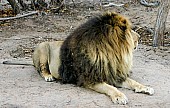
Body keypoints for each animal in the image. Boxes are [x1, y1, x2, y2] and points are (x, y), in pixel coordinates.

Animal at [2, 11, 154, 104]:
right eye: (129, 31)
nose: (140, 37)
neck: (111, 54)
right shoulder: (90, 79)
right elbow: (110, 88)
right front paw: (120, 96)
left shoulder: (113, 74)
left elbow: (133, 82)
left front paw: (146, 87)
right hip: (43, 48)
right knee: (41, 69)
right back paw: (48, 76)